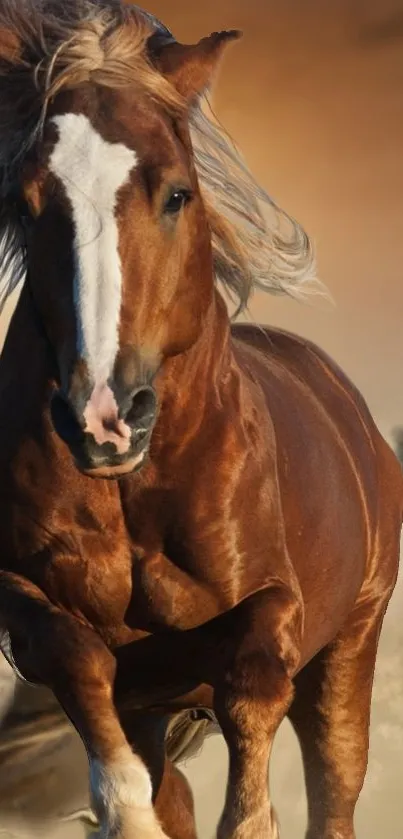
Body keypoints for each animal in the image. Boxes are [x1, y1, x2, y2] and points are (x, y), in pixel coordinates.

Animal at [0, 1, 400, 839]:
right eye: (24, 203)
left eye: (177, 193)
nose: (104, 417)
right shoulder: (25, 598)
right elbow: (76, 657)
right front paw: (125, 812)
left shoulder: (275, 605)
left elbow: (251, 685)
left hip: (350, 645)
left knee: (334, 787)